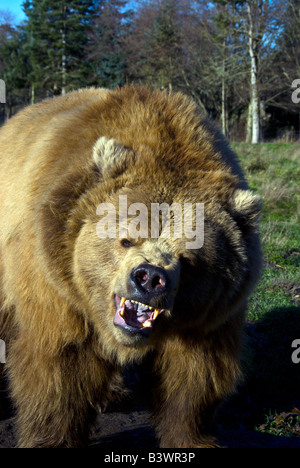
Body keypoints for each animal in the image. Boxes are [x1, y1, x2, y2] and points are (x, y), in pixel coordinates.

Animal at [0, 86, 262, 448]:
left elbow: (194, 378)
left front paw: (194, 438)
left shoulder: (210, 319)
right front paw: (50, 437)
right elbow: (60, 369)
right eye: (127, 239)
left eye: (189, 259)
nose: (149, 277)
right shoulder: (56, 287)